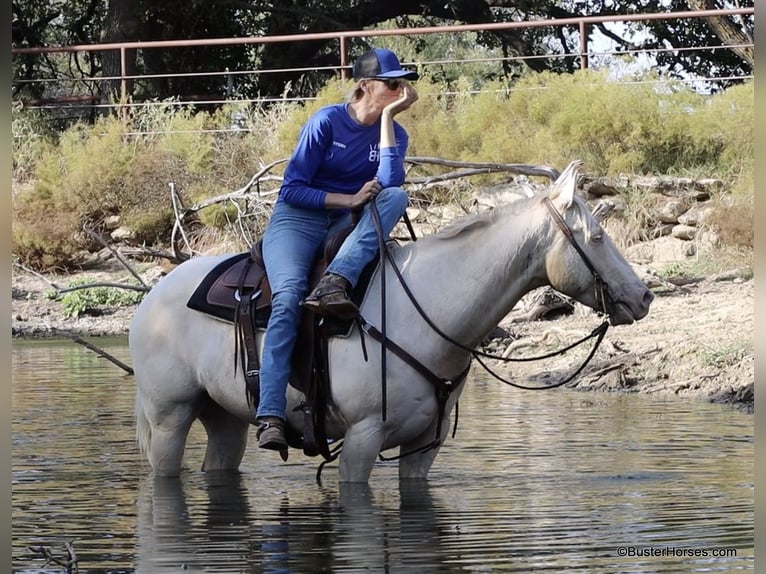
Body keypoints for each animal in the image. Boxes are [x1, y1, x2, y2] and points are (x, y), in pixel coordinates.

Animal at [130, 162, 656, 486]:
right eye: (597, 235)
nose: (644, 296)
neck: (425, 309)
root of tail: (151, 296)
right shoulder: (362, 440)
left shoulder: (424, 446)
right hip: (169, 416)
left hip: (223, 418)